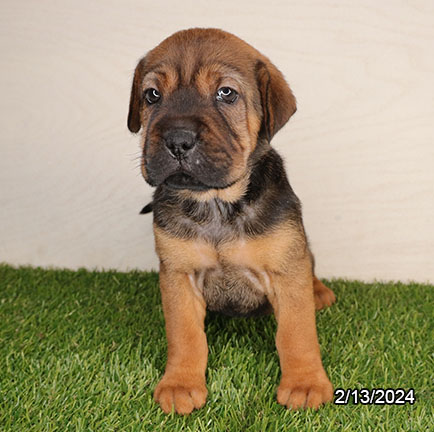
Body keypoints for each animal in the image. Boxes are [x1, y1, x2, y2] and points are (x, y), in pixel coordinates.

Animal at [127, 27, 338, 416]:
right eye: (152, 95)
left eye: (226, 93)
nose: (177, 140)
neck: (216, 205)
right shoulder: (178, 276)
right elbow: (185, 336)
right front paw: (181, 383)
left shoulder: (287, 271)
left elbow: (296, 332)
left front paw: (304, 383)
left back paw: (318, 291)